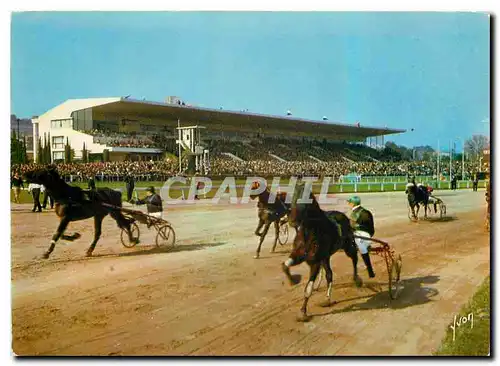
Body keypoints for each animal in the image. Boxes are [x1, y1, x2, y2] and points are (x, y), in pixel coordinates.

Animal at [282, 183, 360, 320]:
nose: (292, 220)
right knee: (329, 274)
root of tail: (343, 216)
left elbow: (308, 288)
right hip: (326, 257)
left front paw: (303, 312)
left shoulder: (315, 261)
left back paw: (356, 279)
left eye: (305, 197)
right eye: (292, 197)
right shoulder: (300, 254)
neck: (310, 232)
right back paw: (327, 298)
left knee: (354, 257)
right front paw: (292, 280)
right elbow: (285, 265)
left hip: (347, 246)